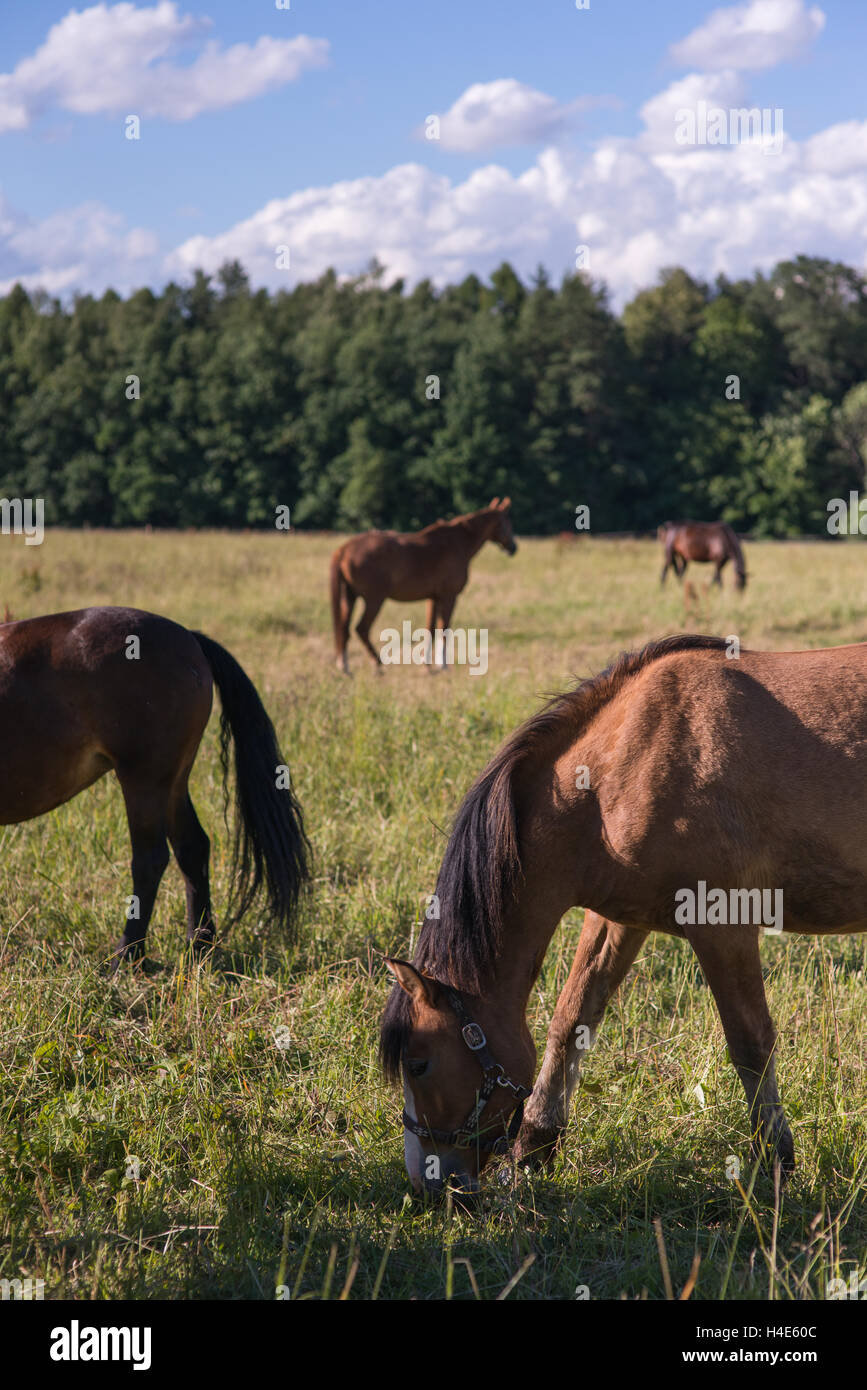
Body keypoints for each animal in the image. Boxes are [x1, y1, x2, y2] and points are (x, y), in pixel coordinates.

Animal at [0, 606, 310, 961]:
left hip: (143, 779)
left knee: (150, 859)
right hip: (173, 782)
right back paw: (199, 944)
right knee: (192, 847)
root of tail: (190, 638)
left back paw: (127, 956)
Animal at [330, 499, 516, 675]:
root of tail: (344, 549)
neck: (458, 542)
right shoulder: (449, 596)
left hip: (349, 597)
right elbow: (444, 629)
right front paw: (443, 666)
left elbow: (430, 629)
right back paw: (377, 664)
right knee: (361, 629)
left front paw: (427, 665)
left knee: (343, 629)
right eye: (507, 521)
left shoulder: (433, 598)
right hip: (374, 599)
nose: (514, 547)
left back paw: (344, 667)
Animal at [381, 632, 867, 1196]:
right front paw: (535, 1144)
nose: (428, 1181)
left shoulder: (723, 924)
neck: (622, 763)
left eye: (418, 1064)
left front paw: (777, 1161)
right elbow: (571, 1019)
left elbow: (751, 1044)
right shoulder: (618, 920)